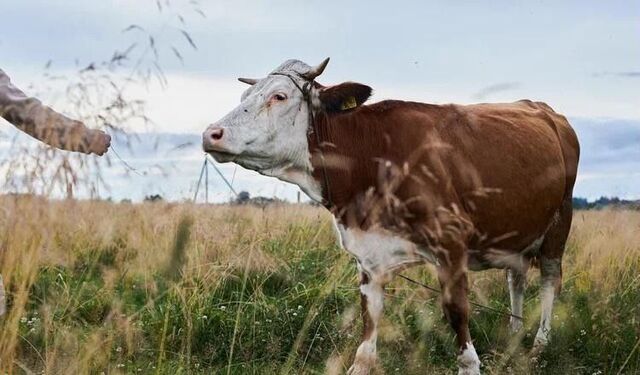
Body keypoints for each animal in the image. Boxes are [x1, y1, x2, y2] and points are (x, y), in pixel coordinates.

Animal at [204, 58, 580, 375]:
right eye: (245, 95)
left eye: (279, 96)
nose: (211, 134)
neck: (376, 159)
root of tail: (543, 109)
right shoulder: (368, 255)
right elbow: (368, 326)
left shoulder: (451, 242)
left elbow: (457, 312)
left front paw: (470, 365)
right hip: (517, 228)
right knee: (516, 277)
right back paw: (514, 334)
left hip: (560, 220)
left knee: (549, 280)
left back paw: (539, 344)